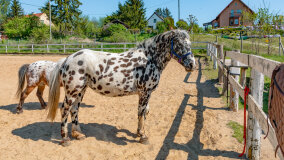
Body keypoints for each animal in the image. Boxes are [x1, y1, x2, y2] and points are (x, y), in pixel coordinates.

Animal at [47, 29, 196, 146]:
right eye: (179, 44)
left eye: (189, 44)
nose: (192, 65)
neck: (150, 59)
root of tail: (67, 59)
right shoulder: (145, 92)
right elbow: (141, 113)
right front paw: (143, 136)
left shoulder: (146, 94)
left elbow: (144, 113)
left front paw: (139, 133)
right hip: (72, 91)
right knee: (65, 110)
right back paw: (65, 139)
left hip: (80, 90)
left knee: (74, 110)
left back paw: (78, 134)